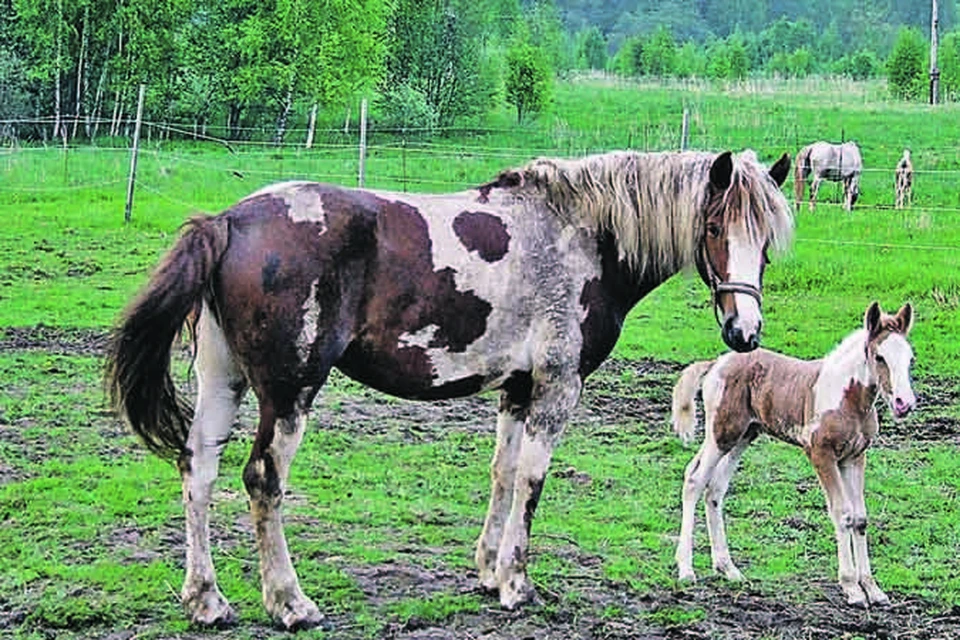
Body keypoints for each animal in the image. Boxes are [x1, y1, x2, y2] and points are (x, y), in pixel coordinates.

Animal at [109, 149, 792, 632]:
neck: (578, 236)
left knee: (197, 470)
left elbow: (502, 472)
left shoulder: (517, 388)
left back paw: (206, 601)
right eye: (713, 227)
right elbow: (532, 481)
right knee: (261, 481)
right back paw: (290, 603)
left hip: (222, 380)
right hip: (288, 392)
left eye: (765, 241)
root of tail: (229, 221)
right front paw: (517, 583)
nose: (745, 332)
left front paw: (489, 571)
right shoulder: (556, 387)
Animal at [672, 302, 920, 608]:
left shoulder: (854, 457)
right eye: (879, 357)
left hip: (743, 436)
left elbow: (860, 518)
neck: (847, 399)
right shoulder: (821, 454)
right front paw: (851, 588)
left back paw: (728, 568)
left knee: (715, 488)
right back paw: (686, 570)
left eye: (910, 359)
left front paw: (873, 589)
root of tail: (716, 364)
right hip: (721, 433)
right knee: (695, 479)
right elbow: (843, 514)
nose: (904, 403)